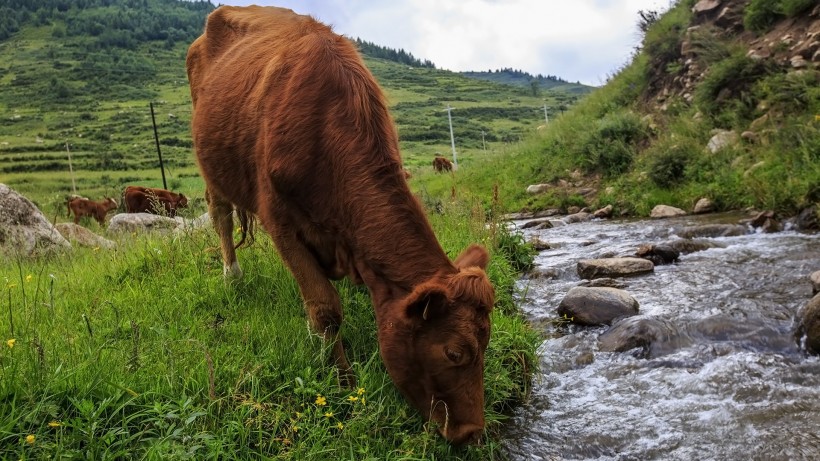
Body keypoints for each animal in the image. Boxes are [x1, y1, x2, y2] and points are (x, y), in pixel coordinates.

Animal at [186, 5, 494, 444]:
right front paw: (344, 382)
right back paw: (233, 276)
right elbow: (325, 310)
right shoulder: (280, 221)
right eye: (454, 352)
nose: (472, 432)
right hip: (212, 168)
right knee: (221, 216)